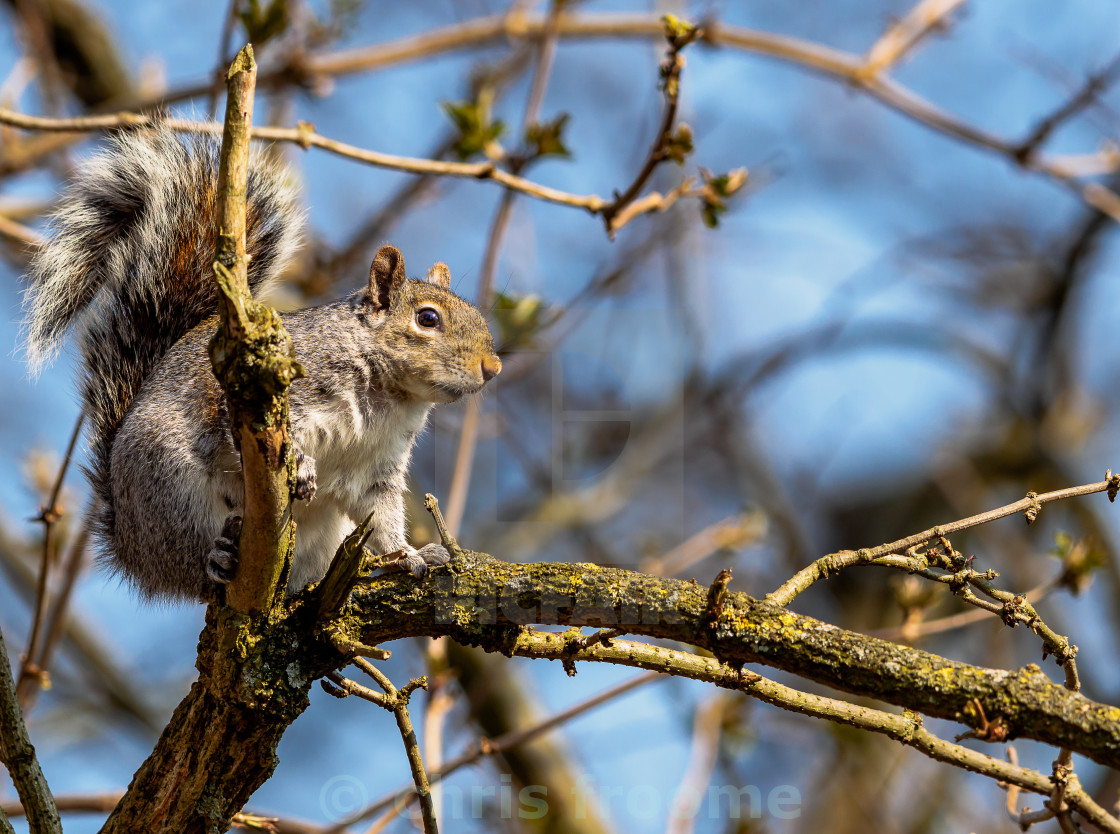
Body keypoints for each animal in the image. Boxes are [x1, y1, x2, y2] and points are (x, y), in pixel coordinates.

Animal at [20, 127, 504, 600]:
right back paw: (215, 558)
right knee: (192, 566)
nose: (493, 368)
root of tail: (127, 543)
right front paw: (303, 466)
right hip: (170, 488)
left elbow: (381, 519)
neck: (388, 397)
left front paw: (409, 554)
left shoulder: (378, 470)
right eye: (427, 319)